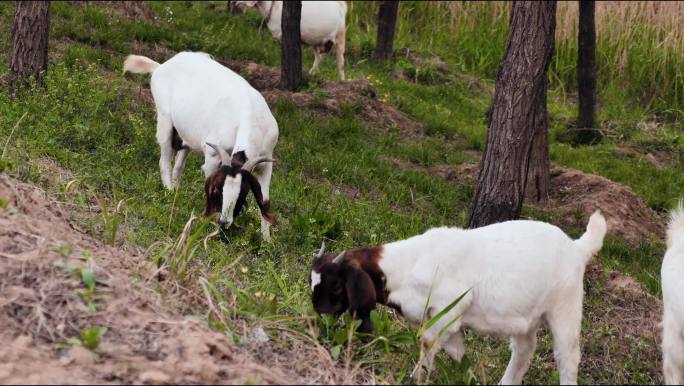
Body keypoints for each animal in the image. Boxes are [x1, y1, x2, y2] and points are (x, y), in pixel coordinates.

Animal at [124, 51, 280, 241]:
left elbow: (265, 200)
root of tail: (161, 66)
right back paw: (168, 192)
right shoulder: (213, 156)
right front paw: (210, 227)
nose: (224, 222)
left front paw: (267, 240)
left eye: (242, 194)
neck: (250, 117)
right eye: (219, 191)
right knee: (164, 160)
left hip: (186, 136)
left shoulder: (266, 165)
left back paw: (176, 192)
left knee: (179, 165)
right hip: (165, 120)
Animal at [312, 213, 608, 384]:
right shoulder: (448, 321)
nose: (318, 311)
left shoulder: (449, 308)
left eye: (336, 284)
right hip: (526, 318)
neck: (409, 265)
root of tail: (576, 247)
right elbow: (458, 354)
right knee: (524, 350)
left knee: (567, 356)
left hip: (565, 307)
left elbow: (427, 345)